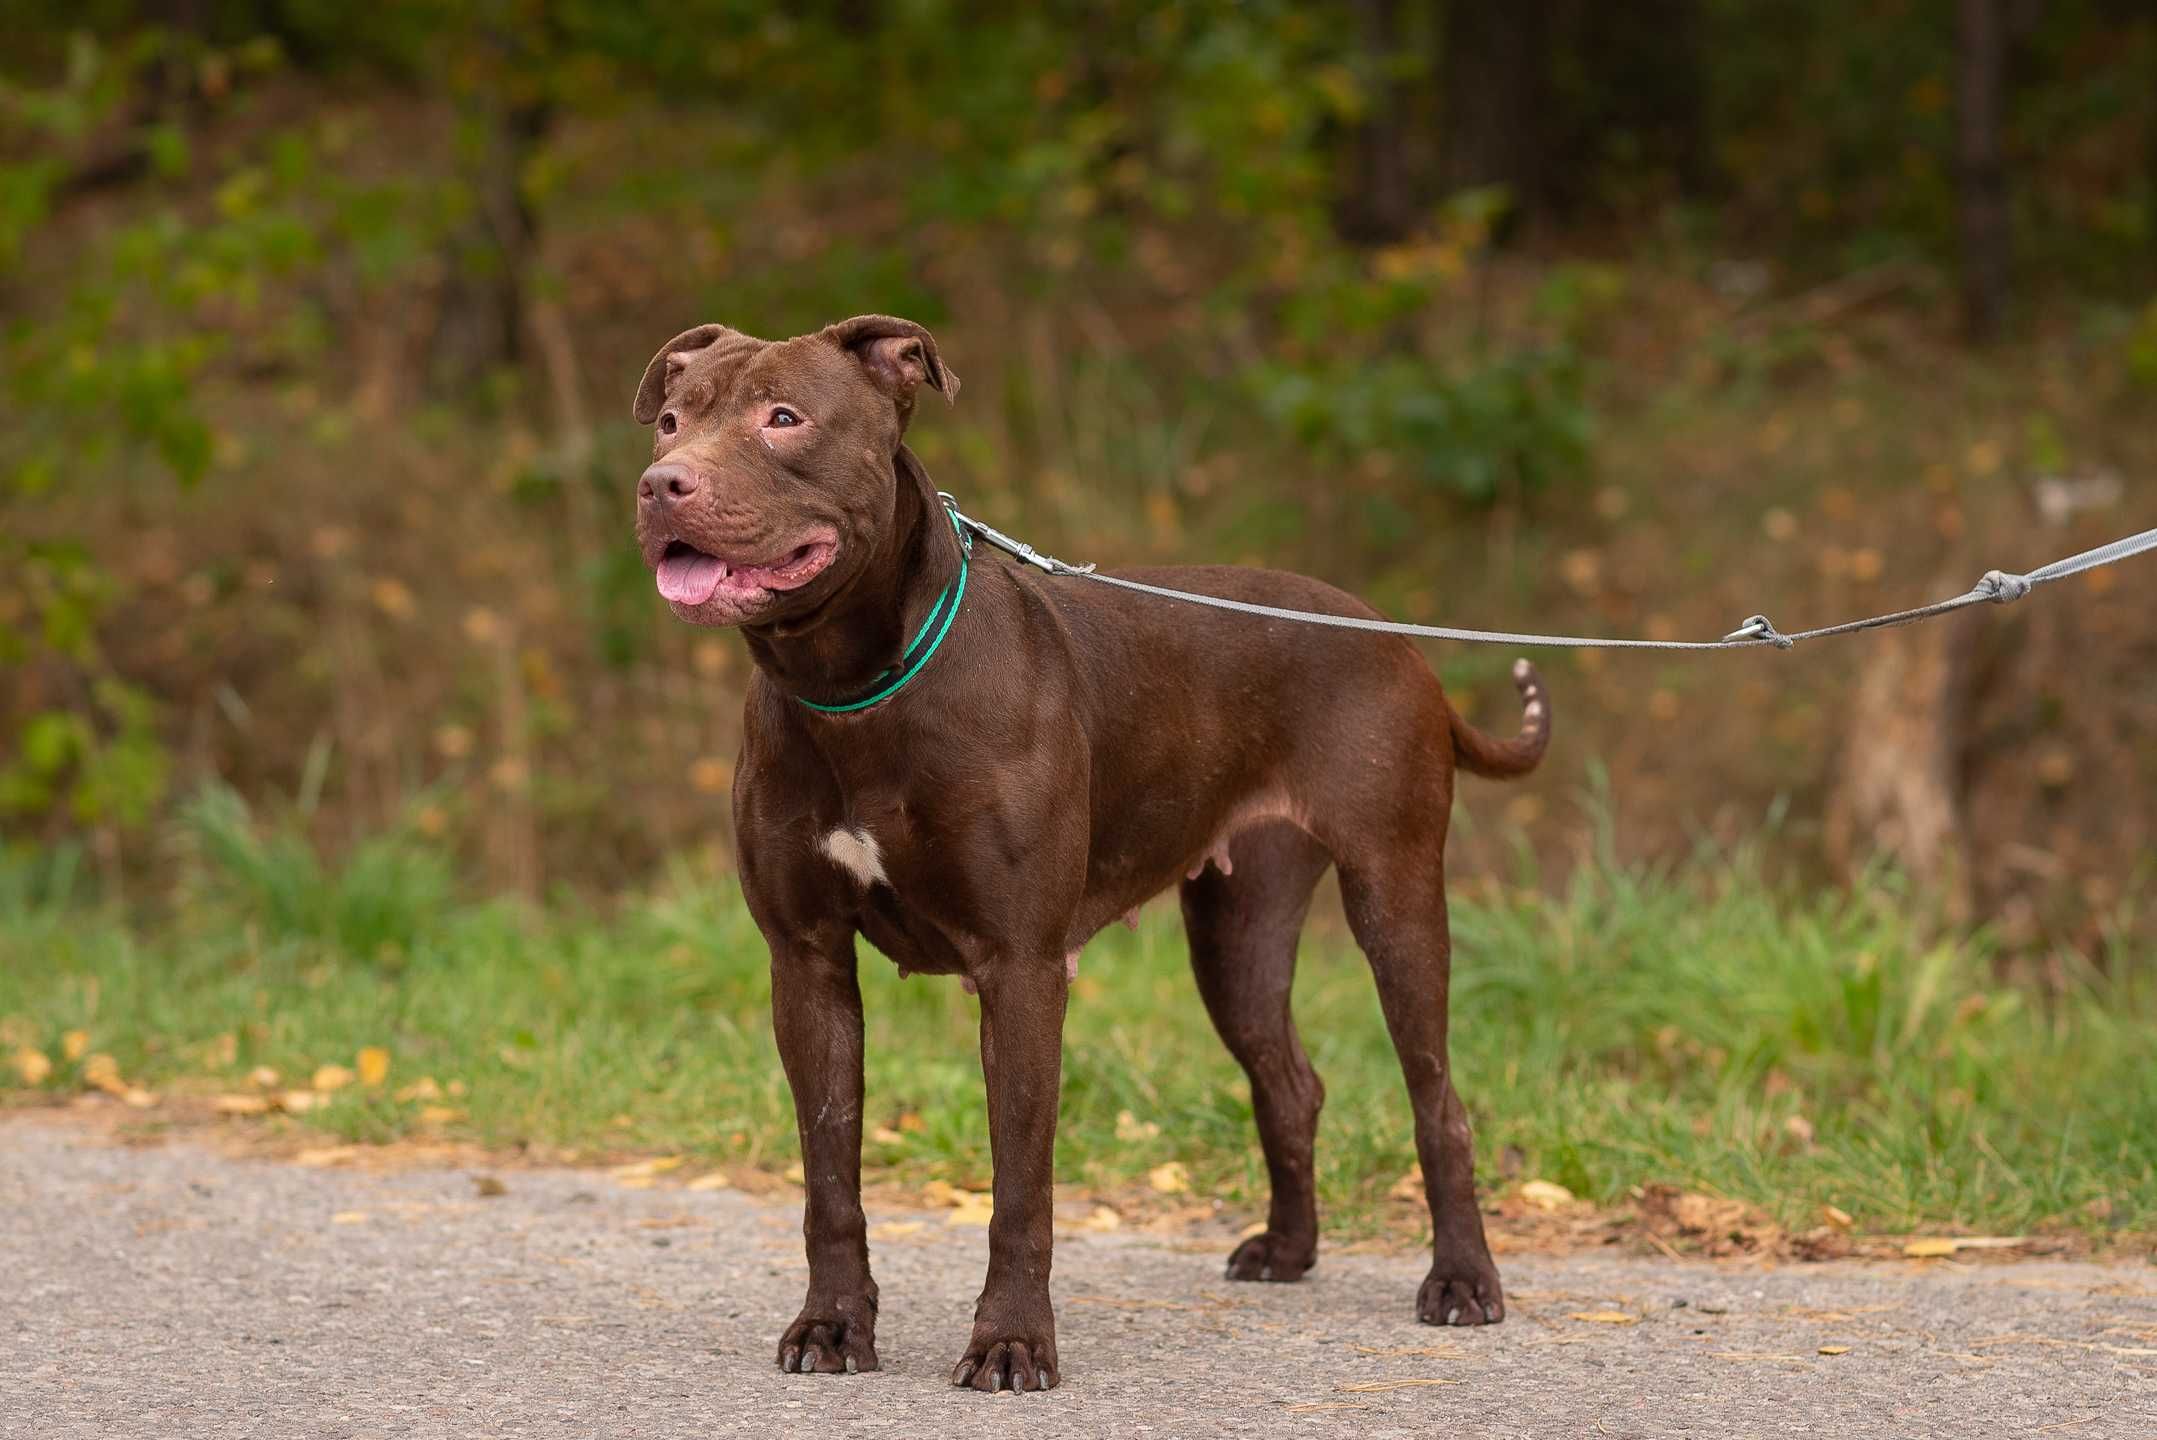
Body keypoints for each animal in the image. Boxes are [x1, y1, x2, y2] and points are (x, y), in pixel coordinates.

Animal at [629, 316, 1553, 1396]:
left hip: (1396, 900)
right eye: (671, 421)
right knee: (1289, 1082)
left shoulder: (1021, 969)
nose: (662, 485)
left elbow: (1021, 1185)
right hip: (1239, 937)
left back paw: (1462, 1281)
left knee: (1436, 1097)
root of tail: (1389, 632)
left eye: (784, 418)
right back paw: (1288, 1251)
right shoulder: (807, 964)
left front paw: (1011, 1342)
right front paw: (833, 1325)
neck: (856, 686)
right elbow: (830, 1175)